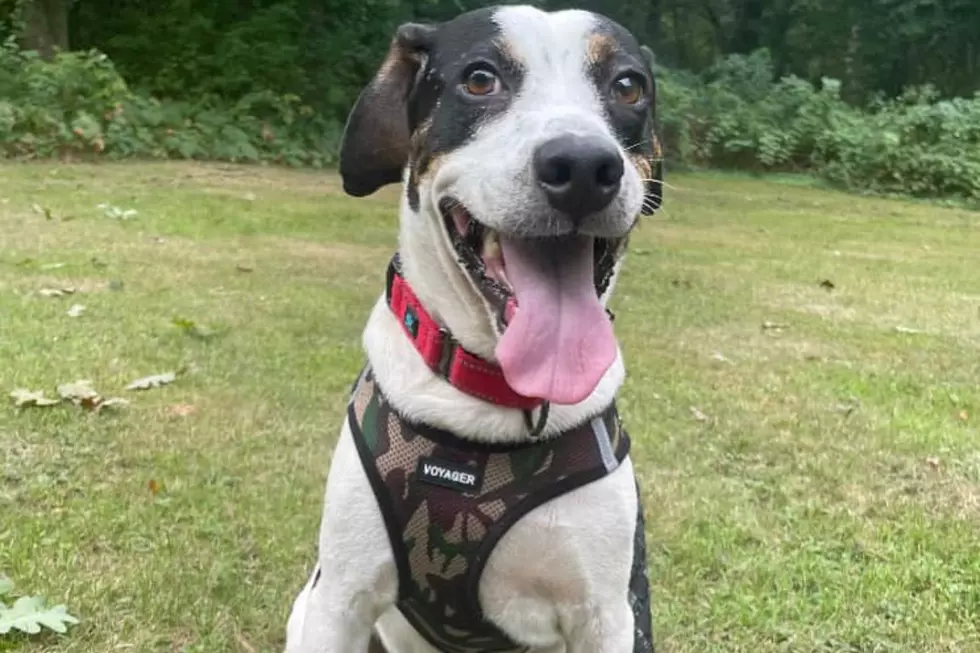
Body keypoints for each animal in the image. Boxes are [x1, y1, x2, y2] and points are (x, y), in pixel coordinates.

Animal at [286, 6, 668, 652]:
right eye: (480, 78)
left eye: (627, 86)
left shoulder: (609, 614)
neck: (489, 402)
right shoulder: (338, 598)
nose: (583, 166)